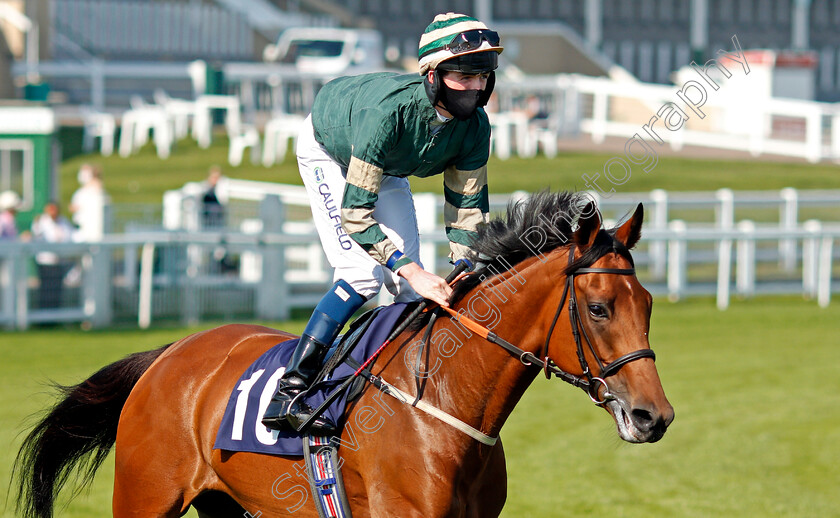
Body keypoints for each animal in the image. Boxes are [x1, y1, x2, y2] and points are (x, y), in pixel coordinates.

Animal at [13, 192, 676, 518]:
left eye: (646, 304)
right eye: (599, 309)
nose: (655, 417)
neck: (446, 403)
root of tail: (170, 352)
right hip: (145, 496)